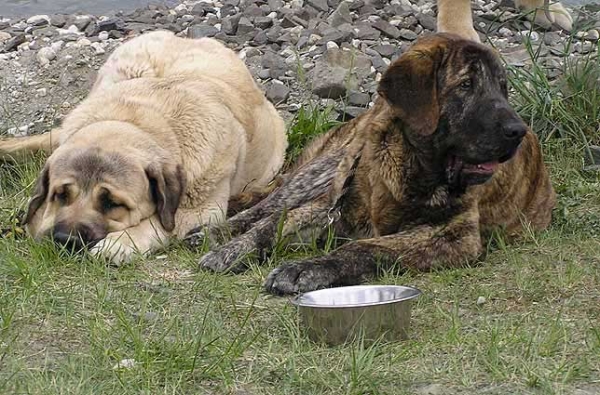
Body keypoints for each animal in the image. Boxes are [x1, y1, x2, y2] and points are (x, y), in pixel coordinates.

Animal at [0, 31, 288, 264]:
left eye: (113, 203)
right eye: (60, 195)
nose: (67, 240)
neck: (140, 119)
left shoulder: (201, 210)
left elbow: (160, 224)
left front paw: (120, 243)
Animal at [185, 33, 556, 294]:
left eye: (503, 88)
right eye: (466, 85)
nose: (518, 131)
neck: (410, 165)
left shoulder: (456, 236)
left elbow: (365, 246)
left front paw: (304, 268)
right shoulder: (331, 202)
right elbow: (271, 223)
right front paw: (231, 250)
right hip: (322, 170)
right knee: (267, 205)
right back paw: (214, 232)